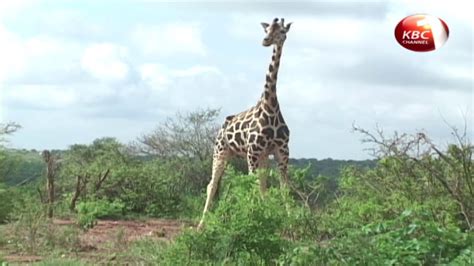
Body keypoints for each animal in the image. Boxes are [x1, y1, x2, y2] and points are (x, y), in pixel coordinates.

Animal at [198, 17, 290, 229]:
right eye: (267, 29)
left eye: (282, 31)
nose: (265, 40)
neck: (271, 106)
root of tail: (222, 126)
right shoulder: (252, 152)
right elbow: (252, 185)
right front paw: (253, 219)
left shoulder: (281, 152)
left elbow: (283, 188)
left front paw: (288, 221)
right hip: (221, 152)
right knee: (211, 184)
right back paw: (201, 225)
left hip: (254, 156)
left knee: (257, 185)